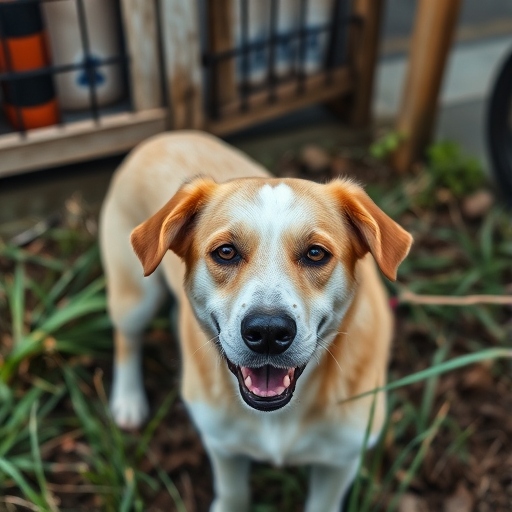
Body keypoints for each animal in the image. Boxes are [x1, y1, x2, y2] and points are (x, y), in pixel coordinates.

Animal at [99, 130, 412, 510]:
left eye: (316, 253)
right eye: (226, 252)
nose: (268, 332)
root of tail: (166, 136)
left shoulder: (340, 461)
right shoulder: (222, 445)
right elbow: (234, 493)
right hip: (135, 297)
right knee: (126, 338)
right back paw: (128, 400)